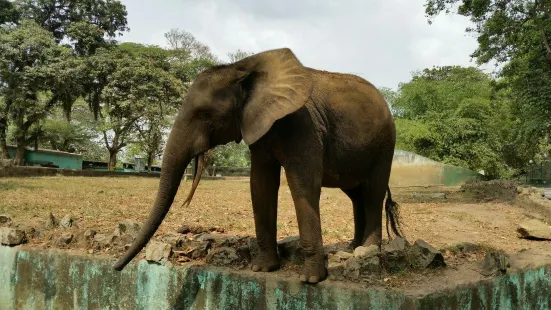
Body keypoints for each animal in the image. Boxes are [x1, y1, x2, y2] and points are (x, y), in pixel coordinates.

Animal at [113, 47, 406, 284]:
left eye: (204, 115)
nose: (116, 268)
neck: (241, 69)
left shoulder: (303, 125)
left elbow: (303, 185)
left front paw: (311, 279)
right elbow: (261, 184)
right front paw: (263, 269)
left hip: (386, 142)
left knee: (372, 192)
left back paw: (367, 250)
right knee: (356, 194)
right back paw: (351, 249)